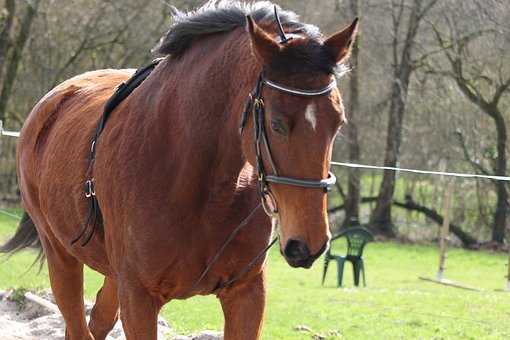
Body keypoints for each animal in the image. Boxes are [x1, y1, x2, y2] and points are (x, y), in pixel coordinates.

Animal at [0, 2, 358, 340]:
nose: (307, 244)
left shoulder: (247, 295)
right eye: (277, 123)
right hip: (61, 257)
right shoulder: (139, 300)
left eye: (338, 123)